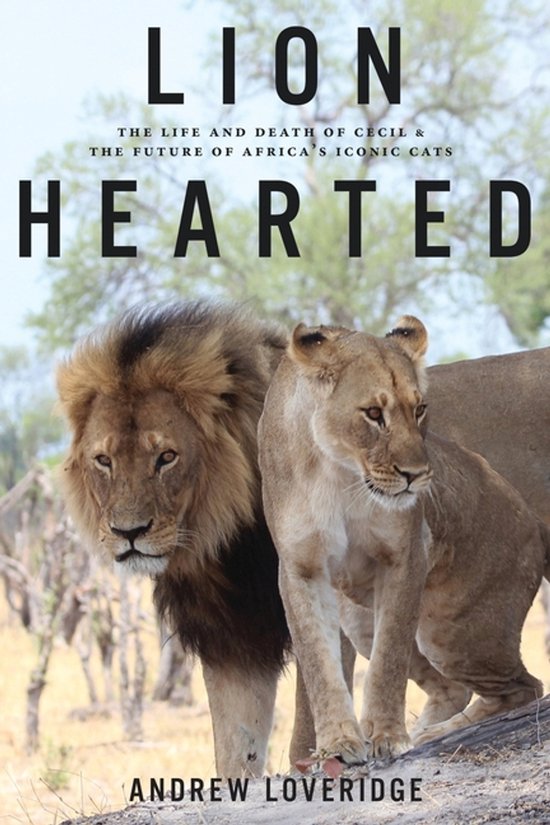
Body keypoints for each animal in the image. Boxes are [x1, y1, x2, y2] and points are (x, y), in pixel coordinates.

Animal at [56, 301, 291, 778]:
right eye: (103, 460)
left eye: (166, 457)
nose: (128, 533)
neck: (225, 550)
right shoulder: (234, 640)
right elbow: (235, 747)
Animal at [258, 316, 550, 762]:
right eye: (373, 413)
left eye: (419, 409)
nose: (416, 475)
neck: (339, 473)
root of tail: (530, 515)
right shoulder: (300, 567)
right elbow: (318, 663)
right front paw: (339, 743)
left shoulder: (404, 555)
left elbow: (388, 660)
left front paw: (387, 736)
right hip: (360, 620)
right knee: (455, 687)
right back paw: (426, 730)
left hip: (454, 632)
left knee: (524, 687)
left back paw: (434, 734)